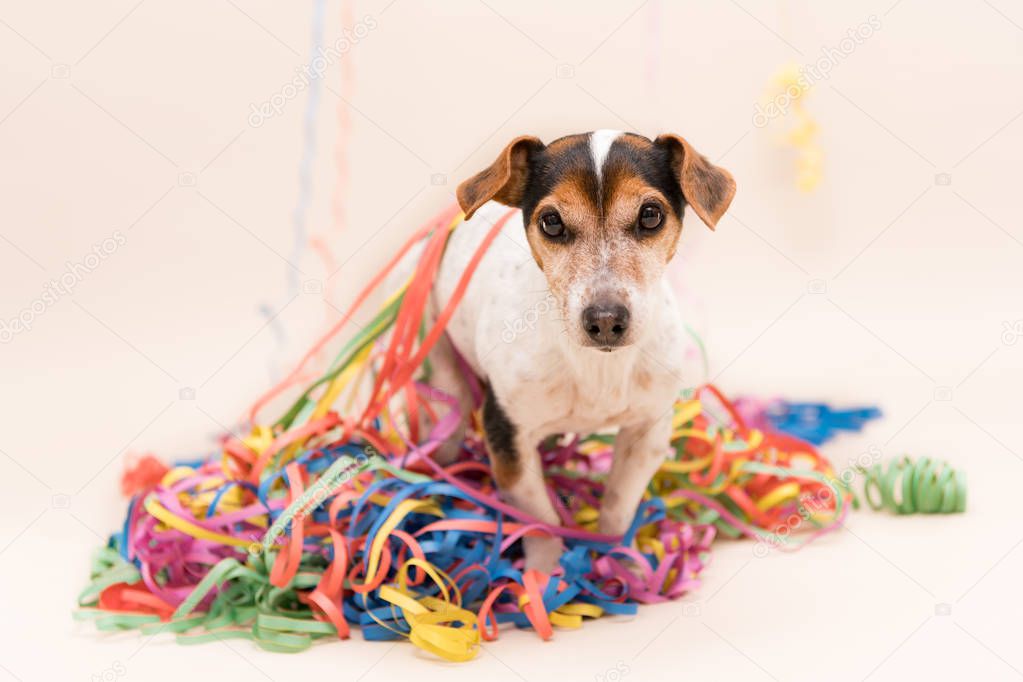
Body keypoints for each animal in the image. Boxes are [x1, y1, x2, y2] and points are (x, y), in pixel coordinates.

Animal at [411, 130, 732, 572]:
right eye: (552, 222)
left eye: (650, 215)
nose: (605, 319)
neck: (598, 366)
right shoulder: (508, 437)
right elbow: (541, 522)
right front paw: (544, 577)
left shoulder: (646, 433)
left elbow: (618, 509)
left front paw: (624, 565)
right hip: (446, 386)